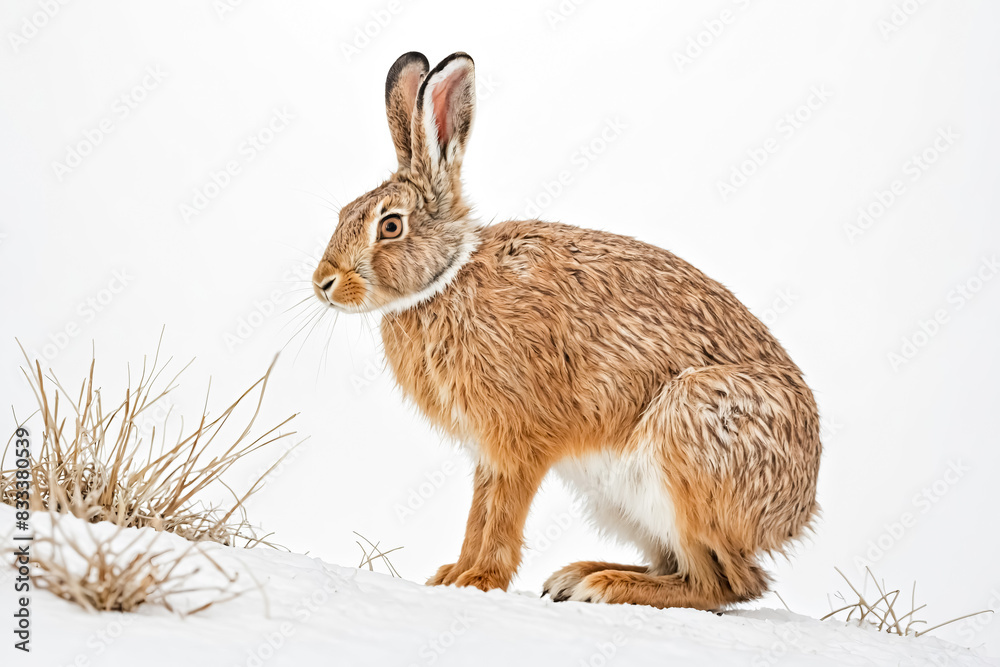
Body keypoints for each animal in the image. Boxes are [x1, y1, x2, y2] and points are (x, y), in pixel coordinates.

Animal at [312, 51, 821, 609]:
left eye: (390, 226)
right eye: (344, 214)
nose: (323, 283)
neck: (448, 277)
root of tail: (794, 515)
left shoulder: (517, 439)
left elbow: (500, 514)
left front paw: (479, 580)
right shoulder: (487, 452)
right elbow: (478, 513)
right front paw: (452, 575)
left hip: (685, 448)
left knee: (723, 585)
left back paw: (604, 585)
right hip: (622, 501)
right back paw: (579, 575)